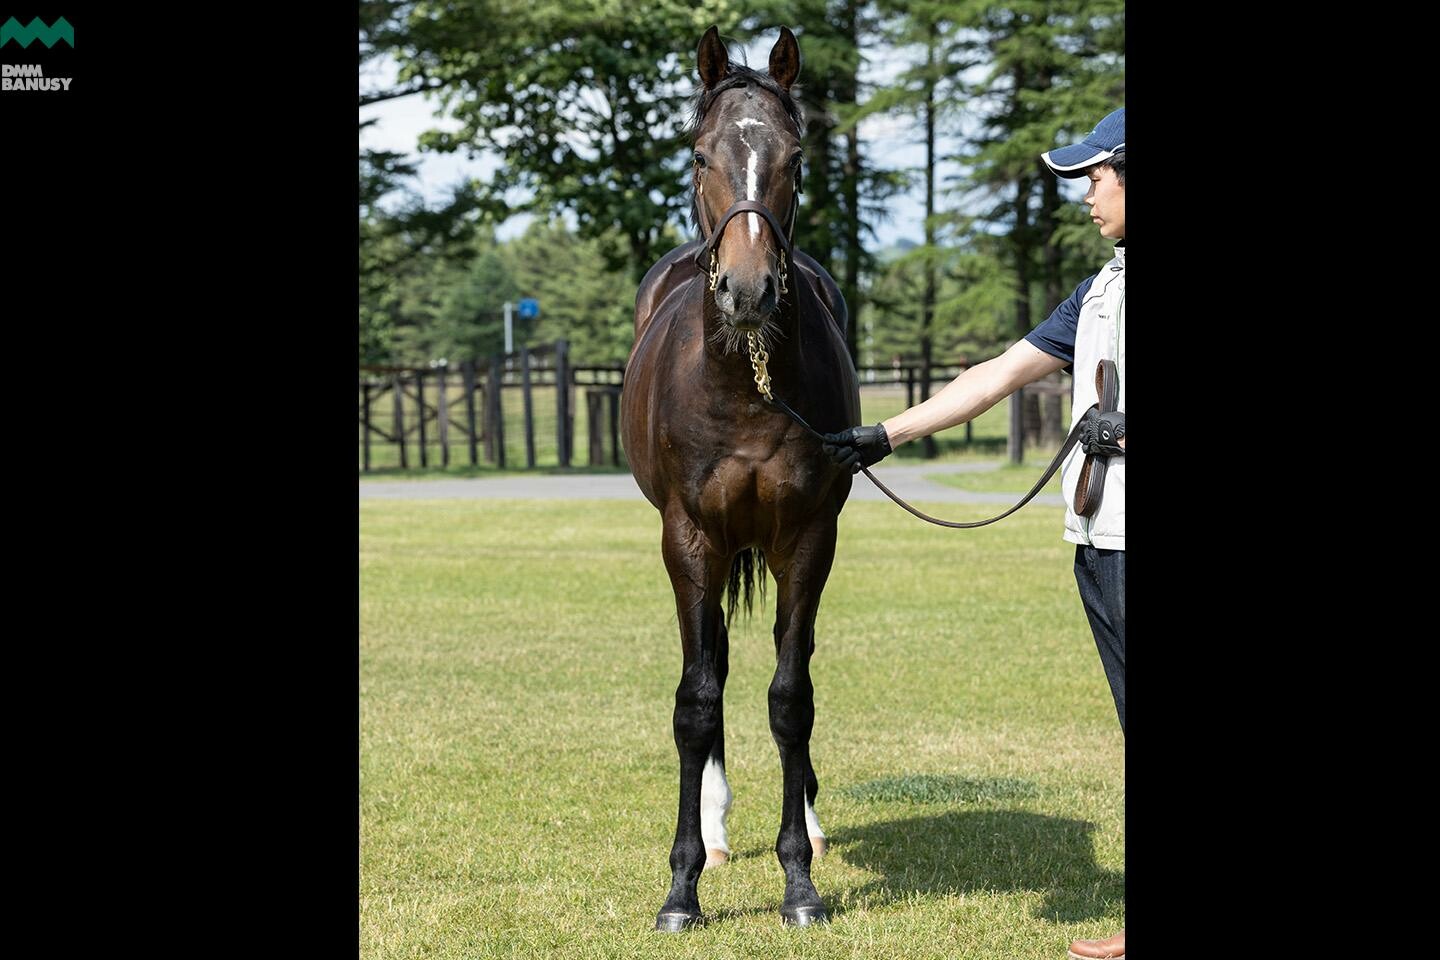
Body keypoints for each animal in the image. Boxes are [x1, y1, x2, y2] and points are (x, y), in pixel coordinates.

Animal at [619, 26, 852, 932]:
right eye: (699, 154)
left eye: (795, 156)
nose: (749, 291)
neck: (744, 380)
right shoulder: (689, 540)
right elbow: (696, 701)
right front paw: (682, 887)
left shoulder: (808, 540)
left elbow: (792, 697)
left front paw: (800, 882)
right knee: (711, 662)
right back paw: (714, 835)